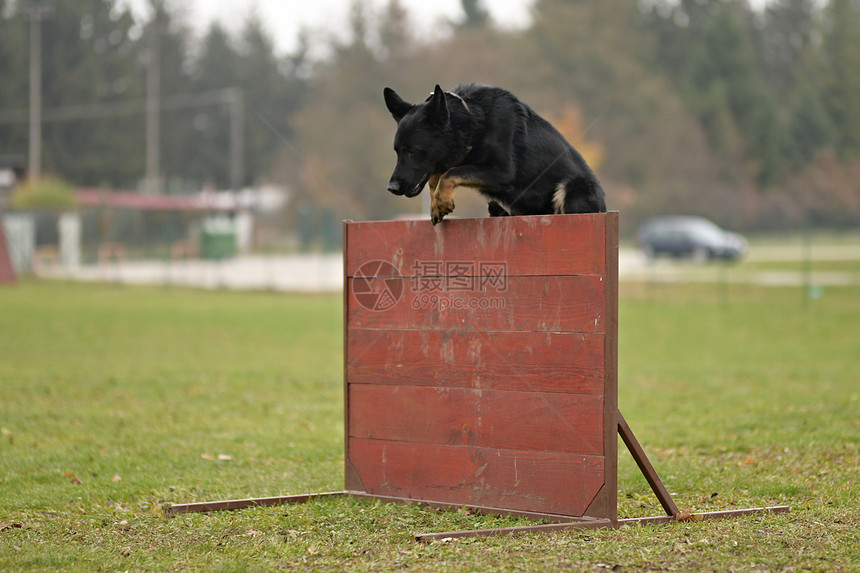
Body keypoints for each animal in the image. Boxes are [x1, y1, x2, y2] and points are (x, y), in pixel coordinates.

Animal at [382, 84, 604, 225]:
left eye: (413, 151)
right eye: (397, 151)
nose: (392, 188)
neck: (472, 122)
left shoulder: (502, 172)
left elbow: (450, 173)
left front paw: (441, 200)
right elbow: (437, 176)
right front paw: (436, 202)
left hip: (574, 187)